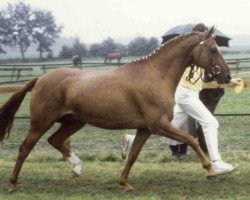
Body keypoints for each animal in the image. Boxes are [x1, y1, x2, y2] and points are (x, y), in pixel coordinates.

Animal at [0, 26, 231, 192]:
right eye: (213, 49)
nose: (226, 76)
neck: (156, 75)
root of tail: (40, 79)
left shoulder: (145, 129)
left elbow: (133, 155)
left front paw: (124, 183)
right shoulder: (159, 125)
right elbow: (191, 139)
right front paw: (211, 170)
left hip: (74, 121)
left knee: (55, 140)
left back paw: (77, 168)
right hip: (41, 122)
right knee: (25, 148)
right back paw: (12, 184)